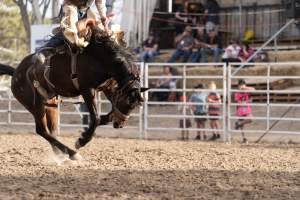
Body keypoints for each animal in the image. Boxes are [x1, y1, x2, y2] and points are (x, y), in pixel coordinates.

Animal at [0, 19, 147, 160]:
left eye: (135, 105)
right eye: (128, 102)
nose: (119, 124)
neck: (101, 57)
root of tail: (16, 73)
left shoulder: (108, 87)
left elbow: (107, 113)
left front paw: (85, 133)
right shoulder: (87, 90)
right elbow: (95, 118)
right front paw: (81, 141)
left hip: (51, 104)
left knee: (51, 131)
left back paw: (61, 155)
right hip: (35, 105)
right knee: (42, 130)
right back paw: (72, 154)